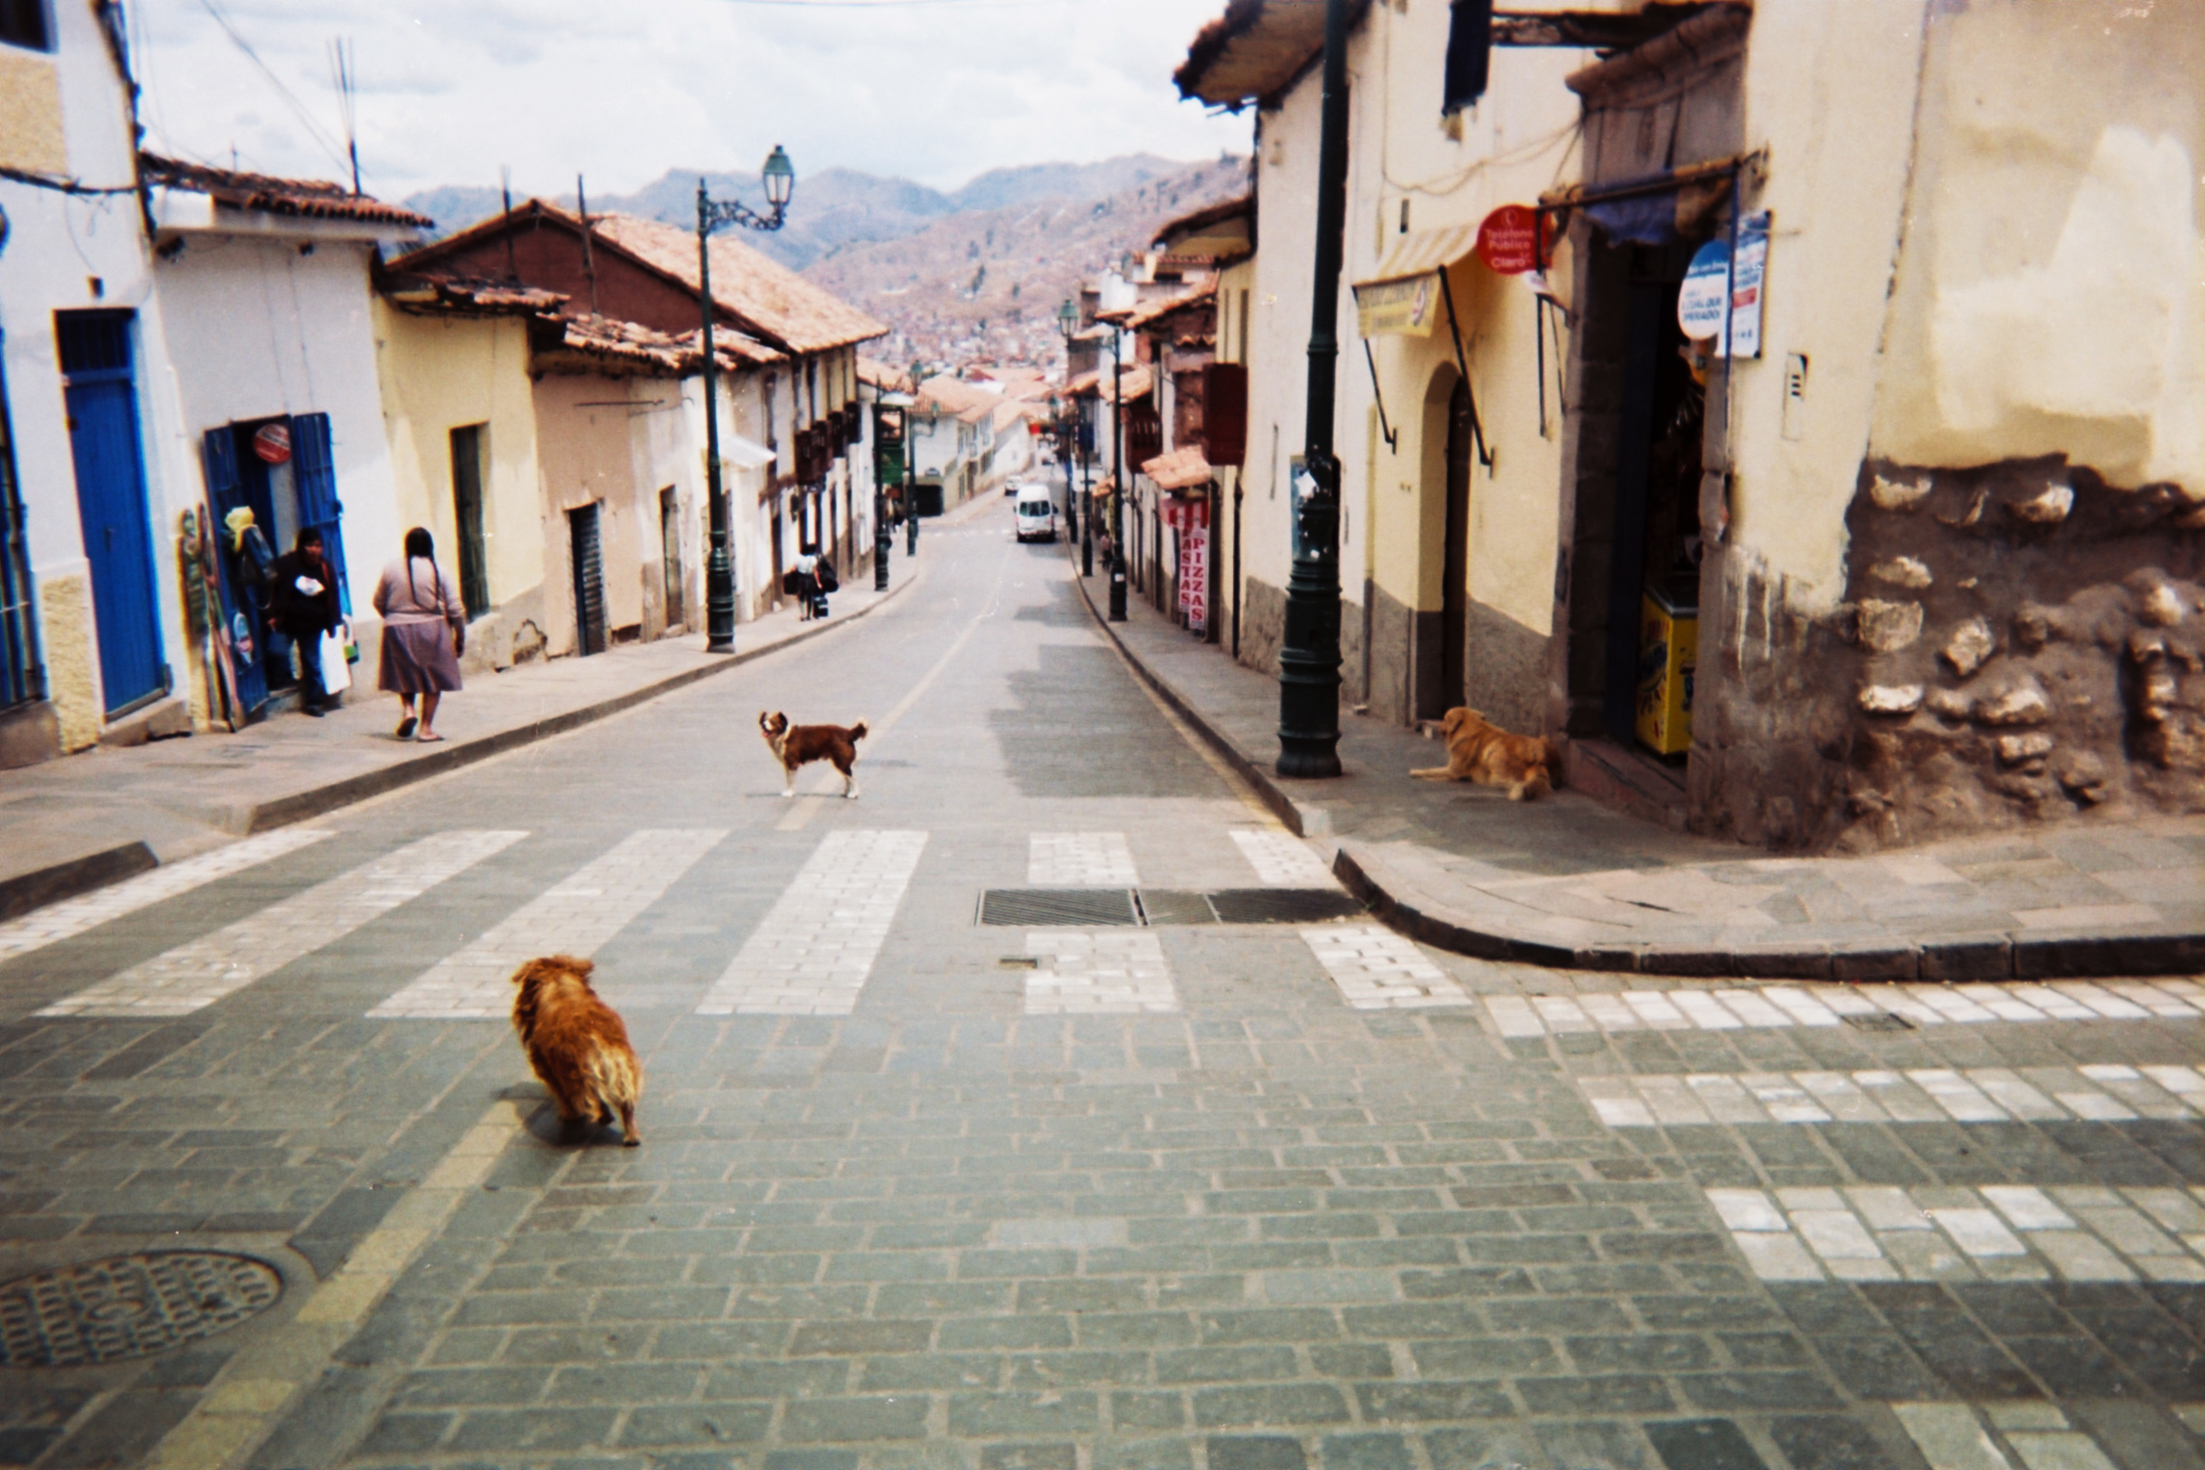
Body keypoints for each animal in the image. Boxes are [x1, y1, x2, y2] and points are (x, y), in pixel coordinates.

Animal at [510, 956, 643, 1146]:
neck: (558, 985)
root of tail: (593, 1033)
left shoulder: (549, 1068)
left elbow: (563, 1095)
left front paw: (569, 1115)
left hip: (578, 1074)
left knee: (594, 1100)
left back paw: (602, 1118)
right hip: (621, 1069)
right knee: (625, 1103)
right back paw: (631, 1136)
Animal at [1410, 707, 1563, 800]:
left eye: (1444, 719)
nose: (1439, 727)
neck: (1472, 728)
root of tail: (1539, 760)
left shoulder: (1452, 770)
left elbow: (1432, 771)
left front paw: (1417, 773)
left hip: (1494, 752)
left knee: (1508, 782)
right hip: (1544, 738)